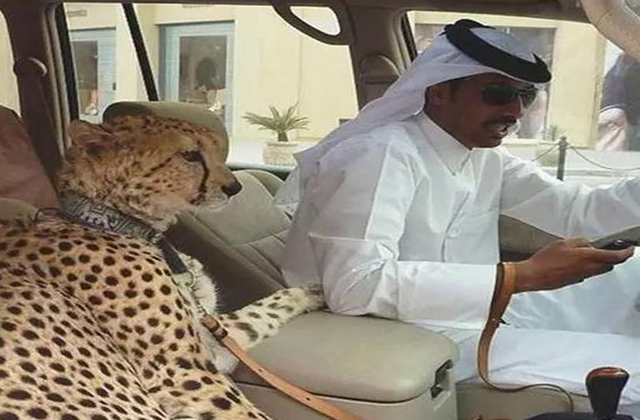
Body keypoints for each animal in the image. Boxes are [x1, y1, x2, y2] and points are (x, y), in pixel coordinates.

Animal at [0, 114, 324, 420]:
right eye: (190, 155)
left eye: (217, 149)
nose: (234, 187)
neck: (110, 219)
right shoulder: (183, 372)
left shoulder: (209, 342)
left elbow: (257, 314)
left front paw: (312, 292)